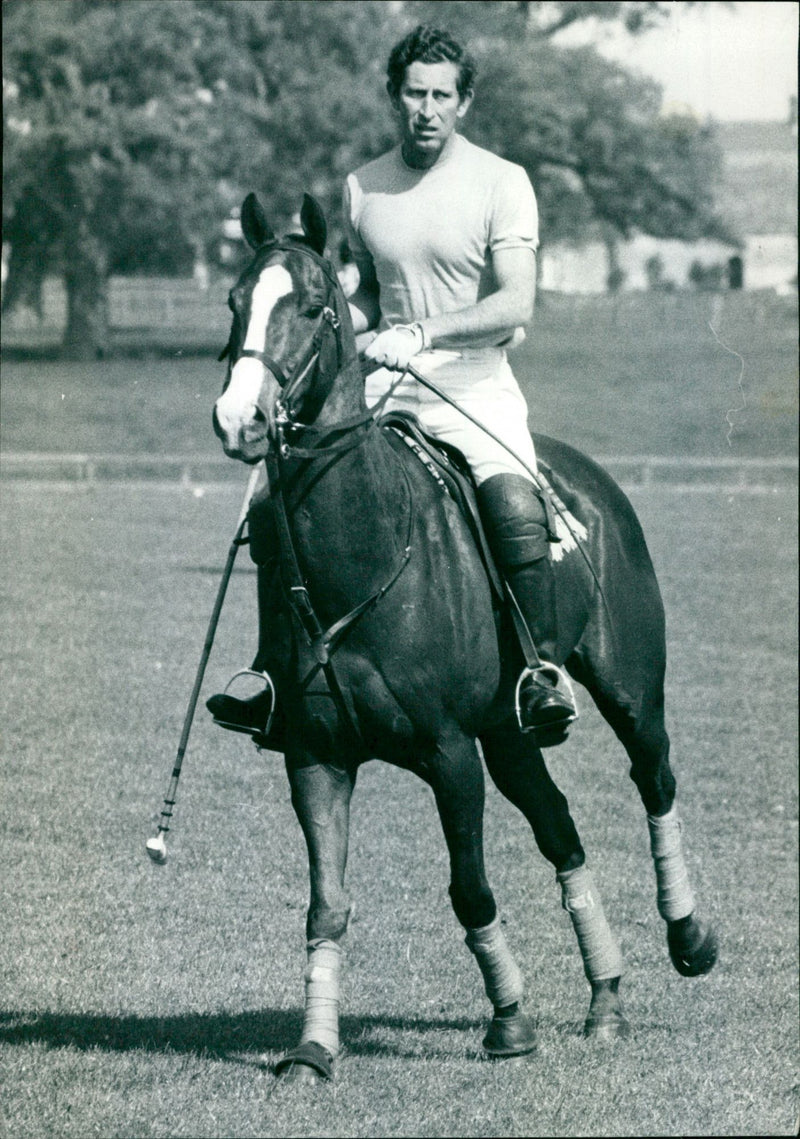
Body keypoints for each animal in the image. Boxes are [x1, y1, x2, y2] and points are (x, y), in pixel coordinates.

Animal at [209, 191, 715, 1079]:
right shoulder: (315, 754)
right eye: (235, 303)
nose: (239, 419)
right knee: (560, 827)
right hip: (507, 731)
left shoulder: (448, 751)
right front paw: (313, 1047)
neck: (366, 547)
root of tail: (589, 476)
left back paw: (689, 937)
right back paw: (606, 995)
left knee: (654, 775)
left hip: (627, 685)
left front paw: (509, 1022)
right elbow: (326, 904)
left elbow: (469, 887)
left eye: (314, 307)